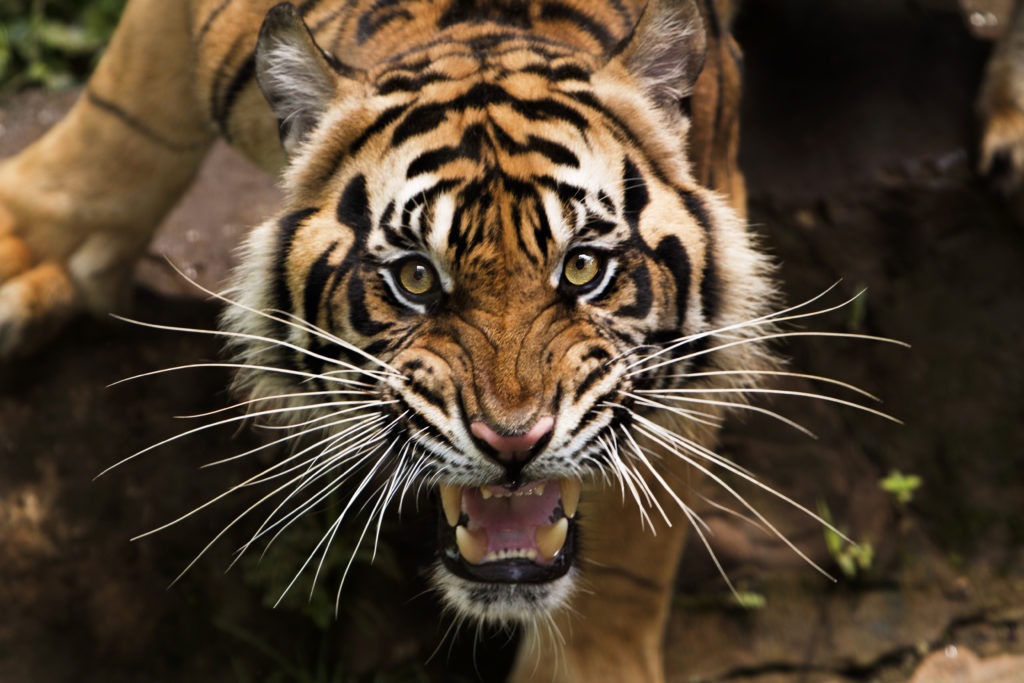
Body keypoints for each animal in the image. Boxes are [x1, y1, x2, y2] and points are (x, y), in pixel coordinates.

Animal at [0, 1, 892, 683]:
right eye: (417, 278)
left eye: (583, 266)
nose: (514, 441)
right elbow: (128, 114)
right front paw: (28, 253)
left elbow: (641, 532)